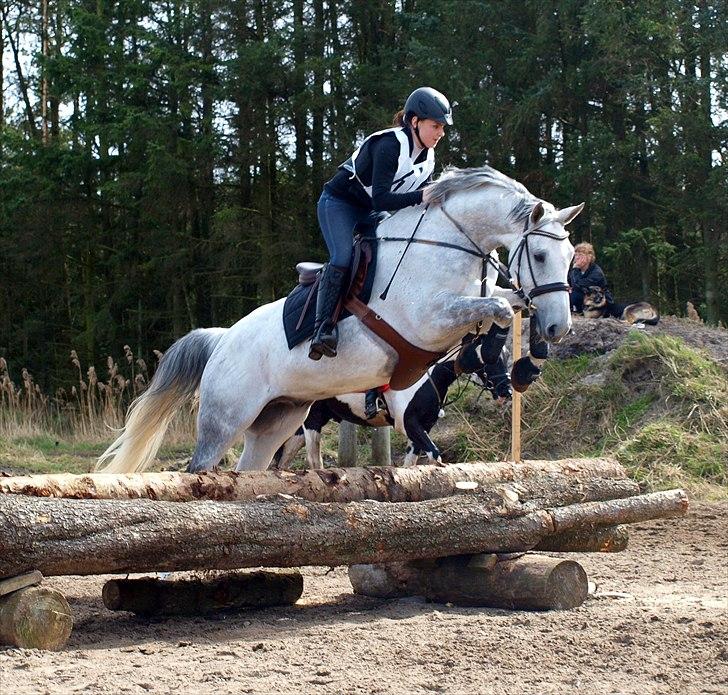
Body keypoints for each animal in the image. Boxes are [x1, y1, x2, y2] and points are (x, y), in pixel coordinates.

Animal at [96, 166, 584, 476]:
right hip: (225, 418)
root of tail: (221, 340)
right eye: (540, 255)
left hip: (279, 419)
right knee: (200, 467)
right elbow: (499, 310)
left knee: (249, 469)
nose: (560, 328)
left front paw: (527, 360)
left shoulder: (474, 301)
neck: (448, 242)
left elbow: (508, 304)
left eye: (569, 256)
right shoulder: (428, 320)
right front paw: (514, 356)